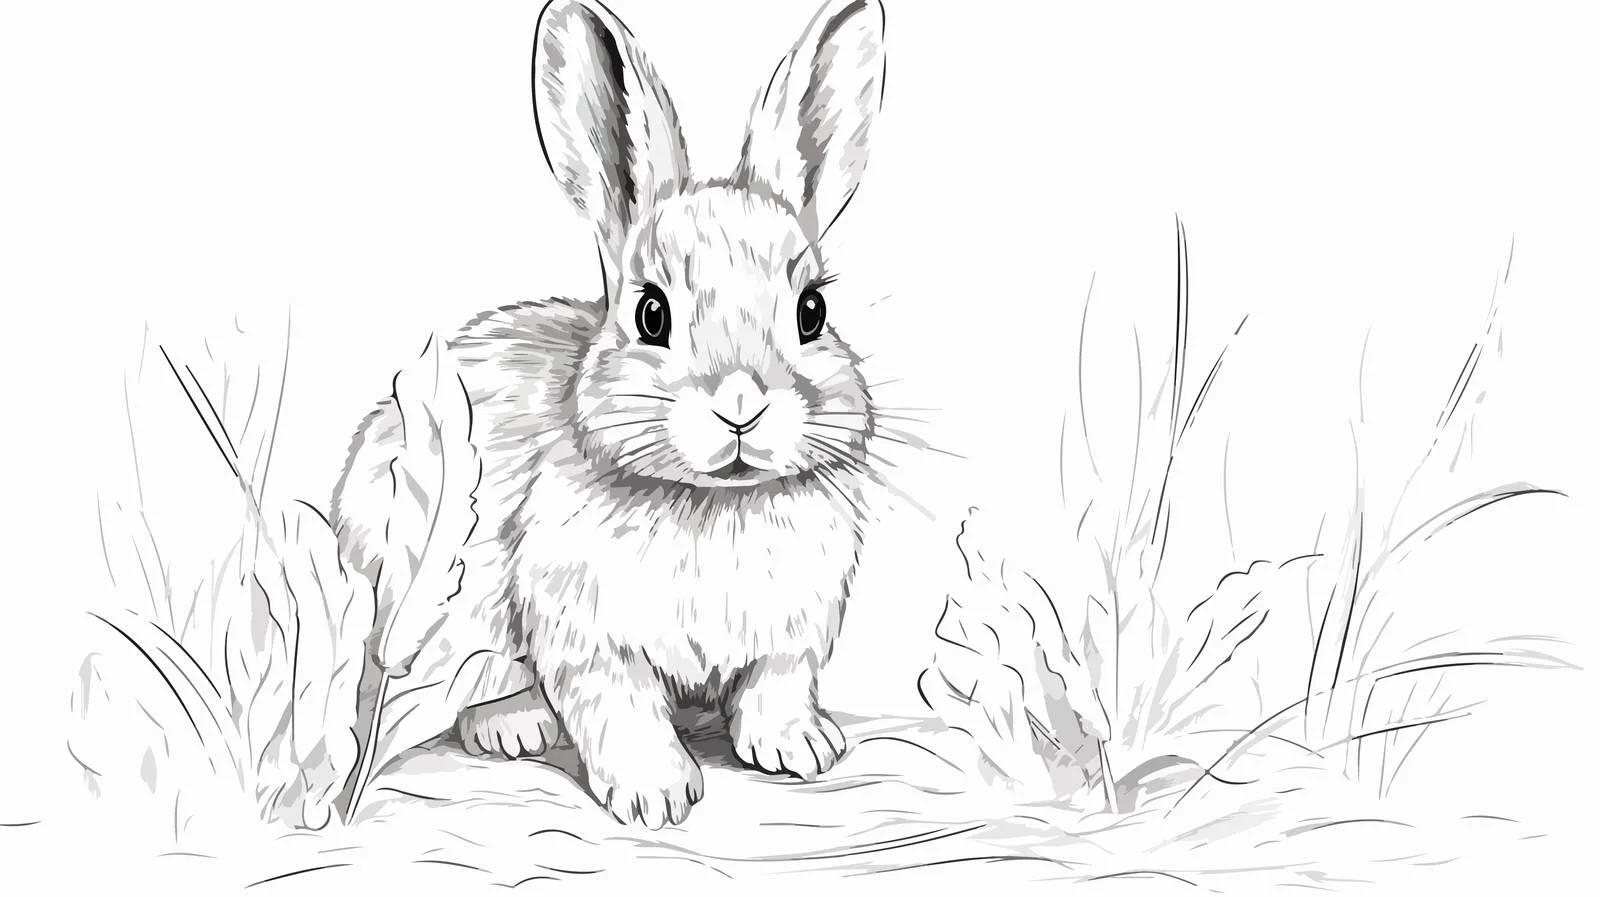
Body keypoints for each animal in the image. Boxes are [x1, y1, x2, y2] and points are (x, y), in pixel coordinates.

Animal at [329, 0, 886, 829]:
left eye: (811, 312)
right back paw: (514, 724)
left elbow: (774, 687)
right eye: (651, 313)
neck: (713, 503)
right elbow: (619, 706)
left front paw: (799, 749)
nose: (741, 401)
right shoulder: (584, 631)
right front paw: (657, 796)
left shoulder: (793, 634)